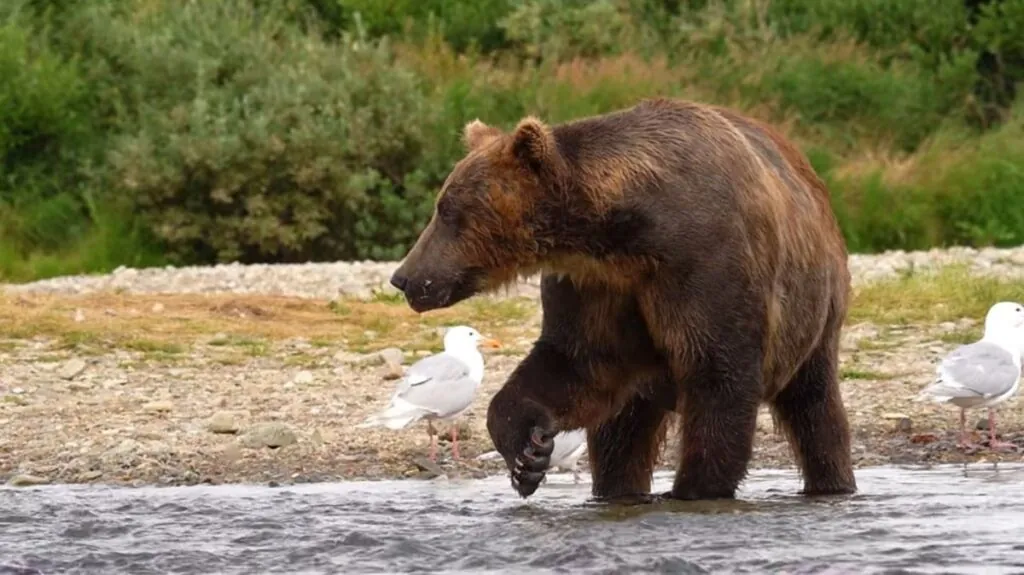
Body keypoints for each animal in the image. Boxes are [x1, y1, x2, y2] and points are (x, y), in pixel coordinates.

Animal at [389, 98, 856, 501]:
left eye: (447, 210)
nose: (404, 277)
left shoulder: (703, 263)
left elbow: (719, 372)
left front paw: (695, 487)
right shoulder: (596, 286)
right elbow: (573, 364)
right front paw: (528, 455)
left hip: (814, 314)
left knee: (815, 409)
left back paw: (831, 483)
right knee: (621, 437)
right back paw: (617, 490)